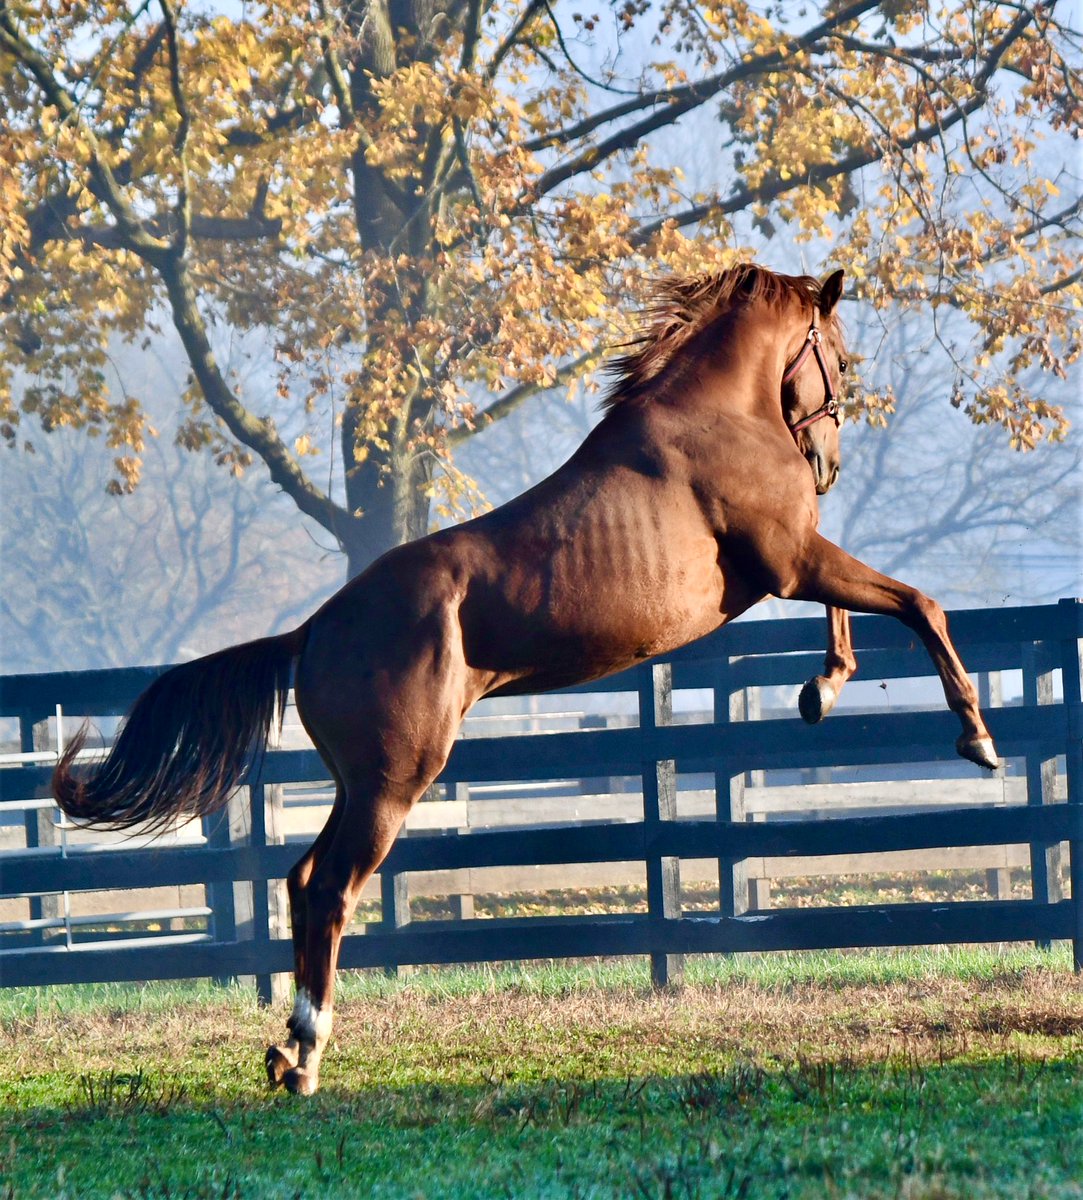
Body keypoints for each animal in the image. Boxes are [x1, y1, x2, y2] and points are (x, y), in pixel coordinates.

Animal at [53, 263, 999, 1095]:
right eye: (834, 354)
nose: (827, 463)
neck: (713, 416)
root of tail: (312, 631)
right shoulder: (791, 561)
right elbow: (918, 604)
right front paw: (976, 740)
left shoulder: (792, 566)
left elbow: (863, 611)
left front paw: (821, 689)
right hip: (394, 783)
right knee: (328, 891)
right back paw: (307, 1057)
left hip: (359, 784)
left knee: (300, 880)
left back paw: (287, 1050)